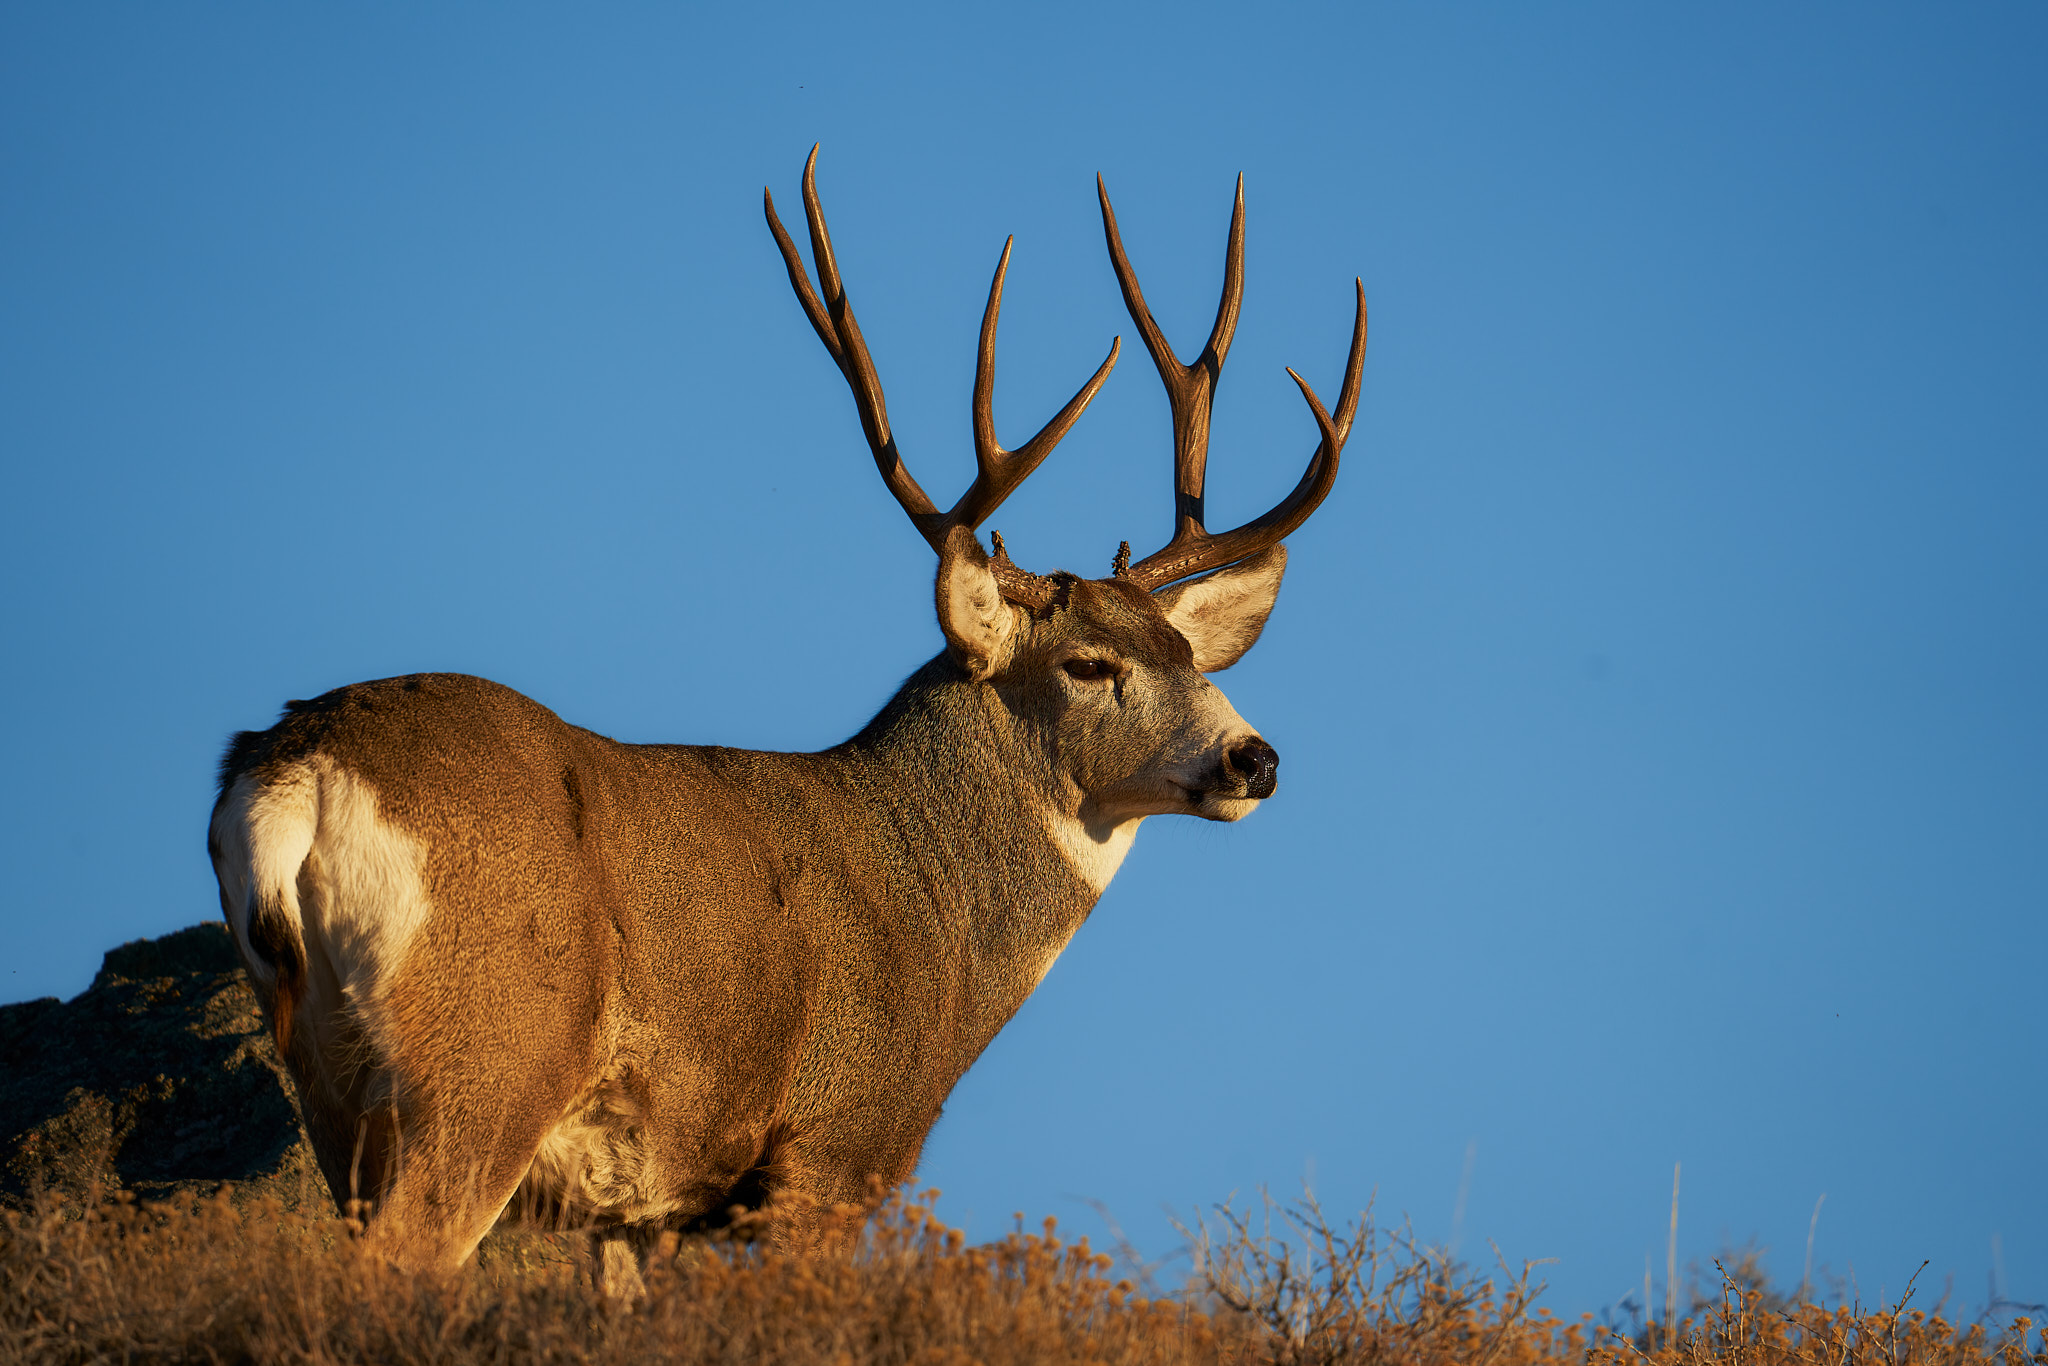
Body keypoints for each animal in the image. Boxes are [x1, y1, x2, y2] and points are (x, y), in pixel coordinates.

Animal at [206, 148, 1367, 1274]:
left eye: (1185, 651)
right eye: (1088, 664)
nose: (1252, 758)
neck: (932, 900)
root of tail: (297, 765)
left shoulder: (638, 1210)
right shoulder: (836, 1145)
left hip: (329, 1076)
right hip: (486, 1055)